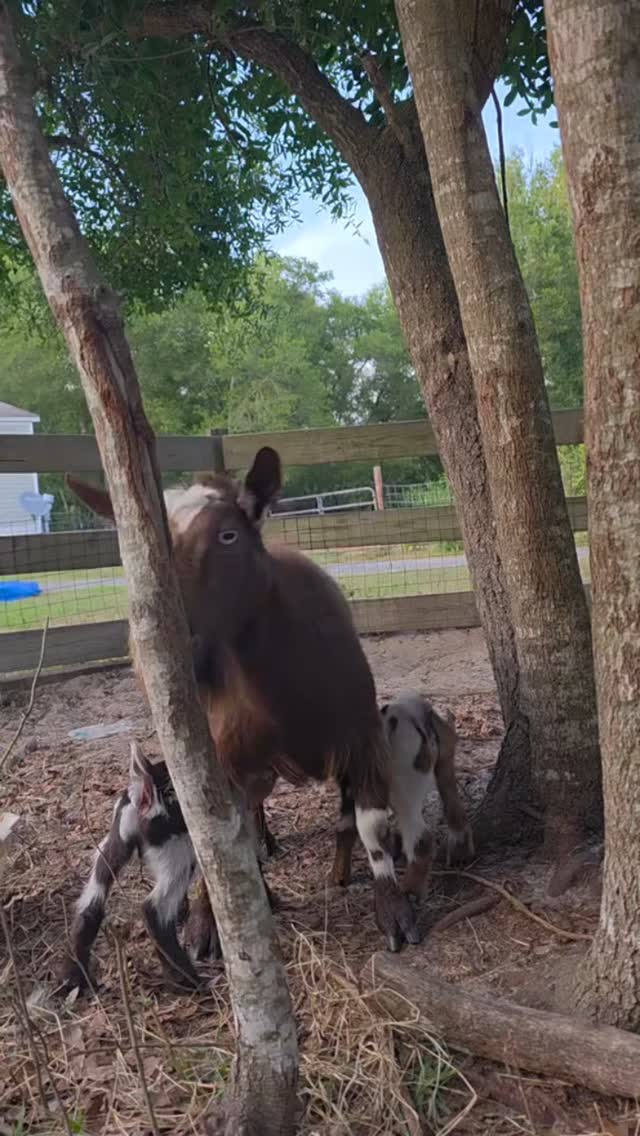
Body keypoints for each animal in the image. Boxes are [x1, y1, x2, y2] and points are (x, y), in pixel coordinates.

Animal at [65, 448, 419, 956]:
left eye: (228, 535)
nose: (160, 641)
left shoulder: (362, 735)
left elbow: (370, 824)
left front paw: (394, 911)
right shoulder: (224, 759)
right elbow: (215, 844)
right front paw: (203, 925)